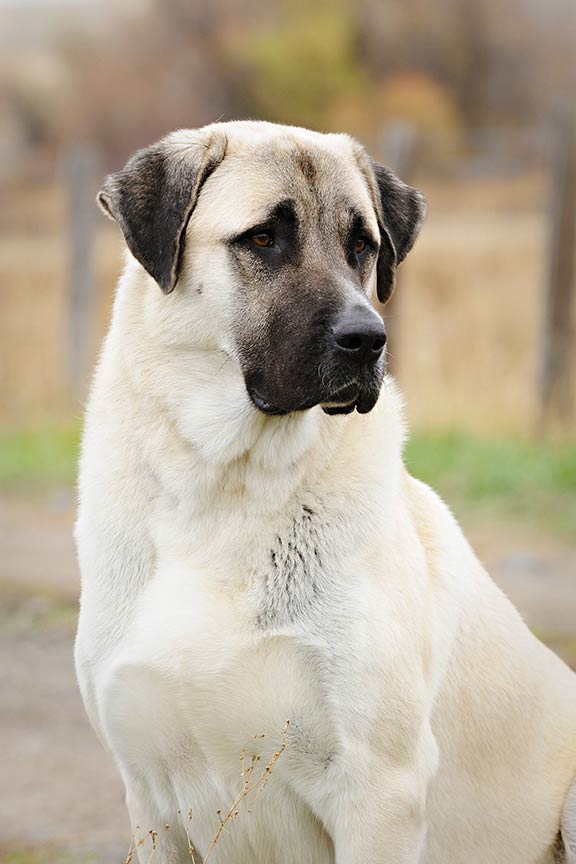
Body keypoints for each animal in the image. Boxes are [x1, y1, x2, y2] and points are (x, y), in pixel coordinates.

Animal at [75, 121, 576, 864]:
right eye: (262, 238)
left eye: (362, 245)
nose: (368, 339)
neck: (225, 486)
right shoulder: (149, 797)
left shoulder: (378, 790)